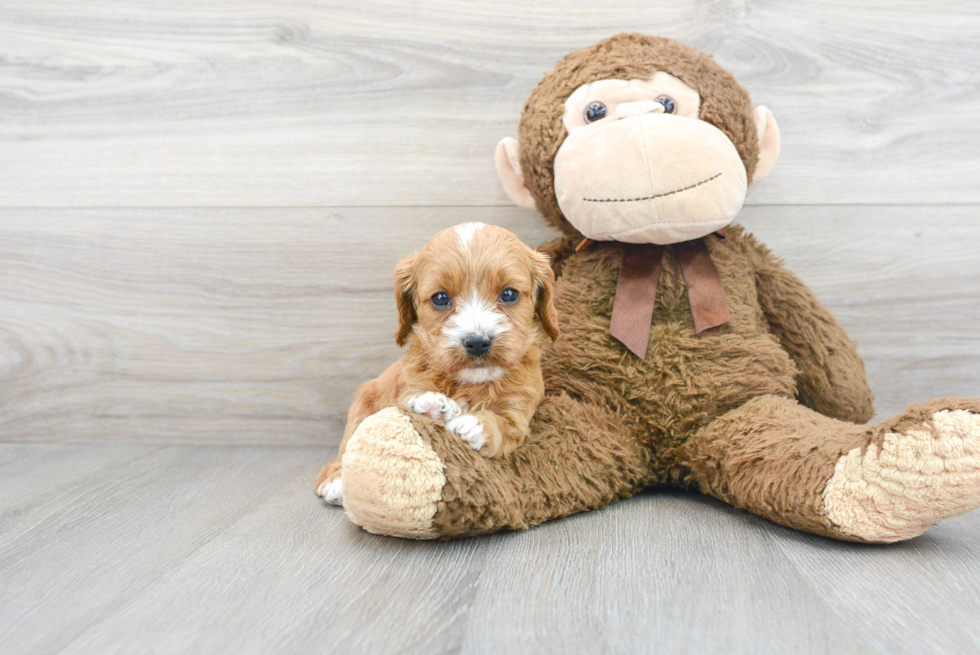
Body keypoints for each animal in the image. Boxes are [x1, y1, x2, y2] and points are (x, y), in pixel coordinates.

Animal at [314, 223, 560, 504]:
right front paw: (432, 406)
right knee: (347, 443)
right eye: (440, 298)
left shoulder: (520, 409)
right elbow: (409, 402)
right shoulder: (407, 387)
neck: (471, 382)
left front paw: (475, 424)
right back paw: (335, 480)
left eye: (509, 294)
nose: (477, 342)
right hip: (363, 404)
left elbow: (505, 426)